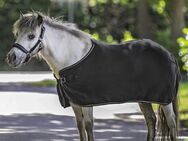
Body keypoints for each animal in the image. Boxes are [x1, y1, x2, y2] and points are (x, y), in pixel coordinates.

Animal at [6, 12, 181, 141]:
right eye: (17, 34)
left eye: (31, 36)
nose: (11, 57)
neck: (72, 57)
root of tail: (170, 55)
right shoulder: (75, 102)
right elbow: (80, 127)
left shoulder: (86, 101)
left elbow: (89, 126)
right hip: (144, 99)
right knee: (151, 121)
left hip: (165, 101)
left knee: (172, 124)